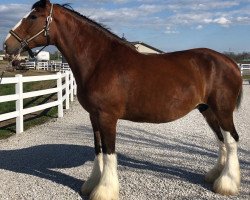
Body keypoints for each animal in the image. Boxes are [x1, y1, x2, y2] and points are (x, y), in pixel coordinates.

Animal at [3, 0, 242, 199]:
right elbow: (98, 149)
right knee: (221, 140)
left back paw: (227, 184)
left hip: (222, 110)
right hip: (207, 110)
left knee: (231, 141)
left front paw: (104, 191)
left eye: (33, 16)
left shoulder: (107, 117)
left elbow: (109, 152)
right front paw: (91, 184)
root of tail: (229, 62)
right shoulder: (94, 116)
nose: (7, 45)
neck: (100, 61)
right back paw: (214, 176)